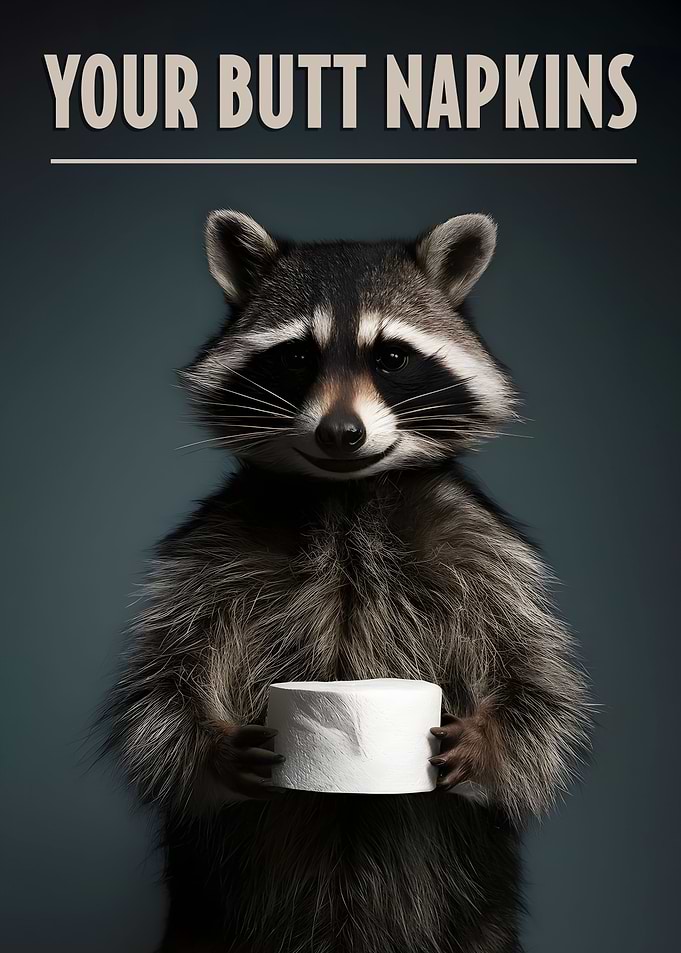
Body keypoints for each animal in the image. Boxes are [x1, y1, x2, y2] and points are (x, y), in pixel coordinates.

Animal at [104, 211, 591, 953]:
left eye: (390, 357)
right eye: (297, 356)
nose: (340, 432)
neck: (343, 497)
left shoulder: (481, 545)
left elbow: (536, 679)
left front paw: (489, 740)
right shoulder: (211, 549)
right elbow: (159, 683)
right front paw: (211, 750)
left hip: (479, 909)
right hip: (202, 919)